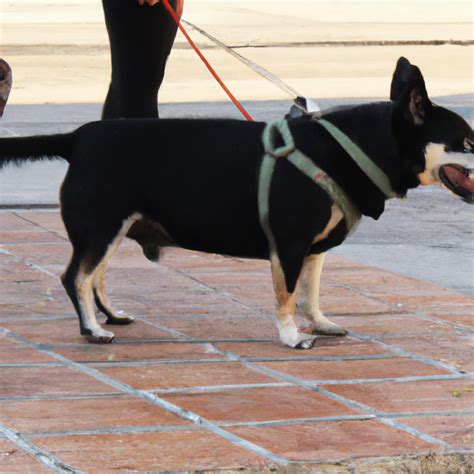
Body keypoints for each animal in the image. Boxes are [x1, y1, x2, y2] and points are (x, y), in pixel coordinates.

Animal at [0, 59, 472, 348]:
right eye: (468, 142)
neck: (350, 148)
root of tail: (76, 138)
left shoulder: (313, 250)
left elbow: (310, 294)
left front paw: (319, 323)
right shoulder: (289, 246)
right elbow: (286, 297)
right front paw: (292, 337)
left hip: (109, 231)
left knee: (95, 277)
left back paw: (110, 317)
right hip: (100, 228)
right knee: (75, 278)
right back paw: (92, 331)